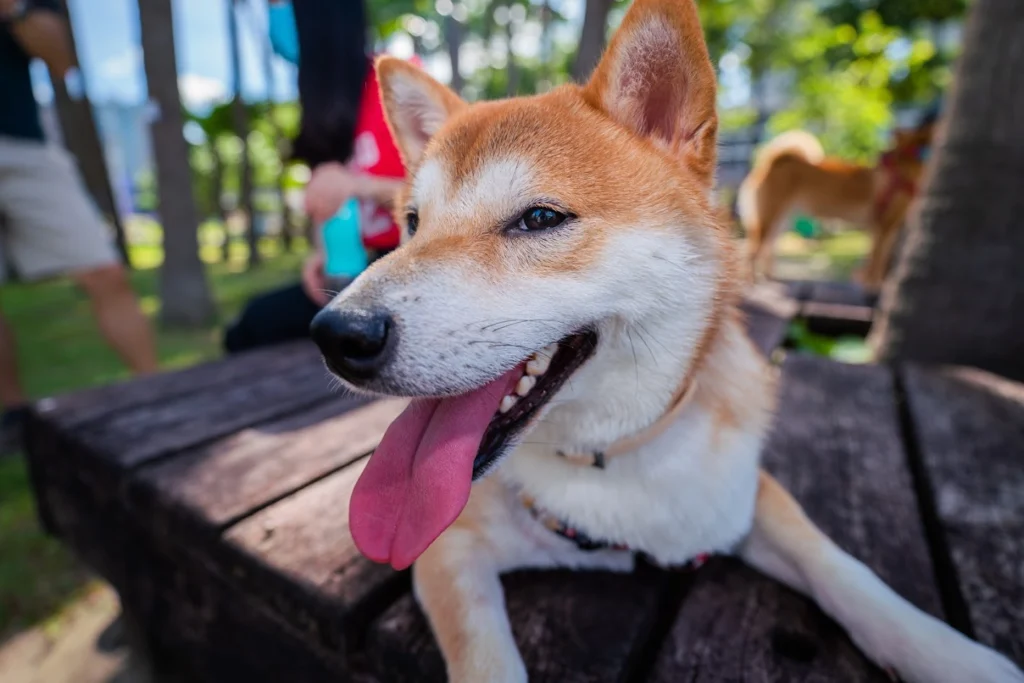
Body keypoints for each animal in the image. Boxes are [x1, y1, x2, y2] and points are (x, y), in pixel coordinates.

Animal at [305, 0, 1024, 679]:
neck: (610, 457)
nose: (337, 334)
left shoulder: (745, 492)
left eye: (539, 218)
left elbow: (844, 569)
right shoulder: (446, 549)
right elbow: (486, 659)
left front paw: (949, 654)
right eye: (412, 224)